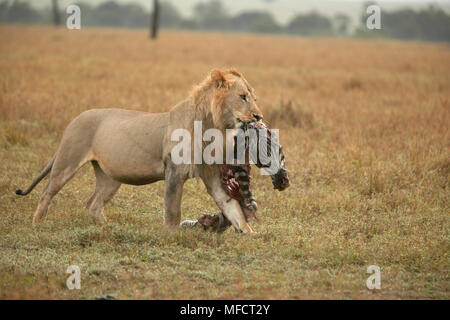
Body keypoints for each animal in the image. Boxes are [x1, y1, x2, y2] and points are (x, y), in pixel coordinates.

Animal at [16, 69, 288, 235]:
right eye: (242, 97)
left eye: (253, 98)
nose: (259, 117)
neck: (213, 126)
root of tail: (75, 119)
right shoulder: (174, 172)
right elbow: (172, 209)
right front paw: (172, 235)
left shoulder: (211, 175)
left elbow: (232, 207)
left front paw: (250, 234)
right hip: (67, 161)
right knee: (46, 194)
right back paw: (36, 225)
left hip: (110, 178)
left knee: (93, 204)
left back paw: (107, 229)